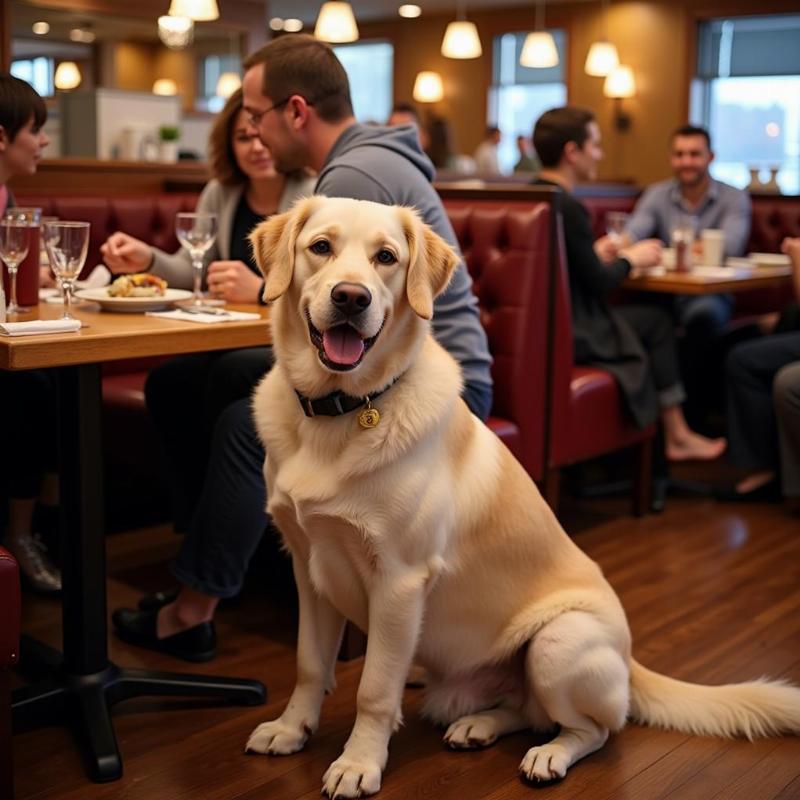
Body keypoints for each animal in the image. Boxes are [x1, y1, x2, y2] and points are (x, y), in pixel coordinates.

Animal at [247, 195, 796, 800]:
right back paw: (478, 726)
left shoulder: (398, 581)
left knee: (594, 729)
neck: (342, 410)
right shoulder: (308, 565)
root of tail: (630, 659)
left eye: (386, 257)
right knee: (524, 710)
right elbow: (310, 666)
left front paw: (358, 762)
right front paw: (291, 730)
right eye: (320, 247)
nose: (351, 297)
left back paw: (548, 756)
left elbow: (373, 690)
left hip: (559, 643)